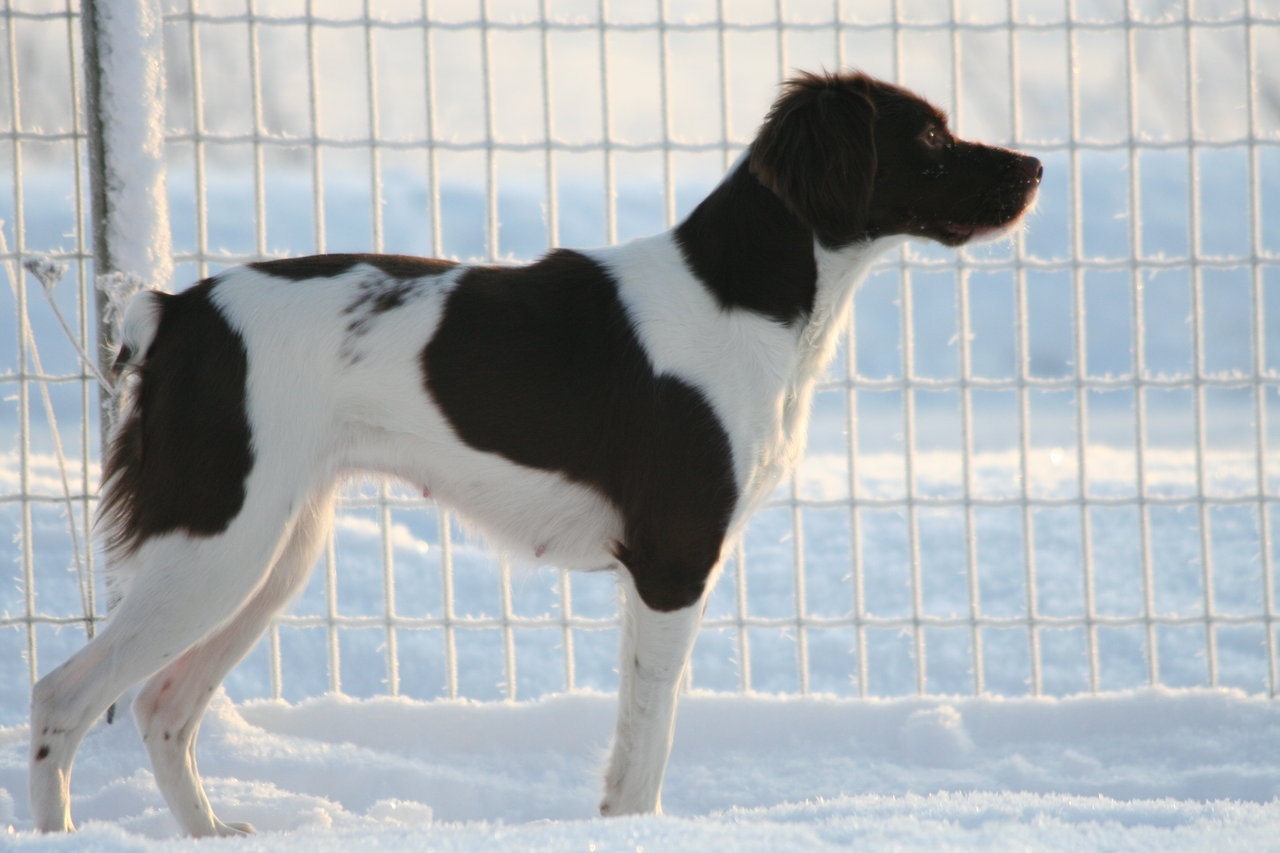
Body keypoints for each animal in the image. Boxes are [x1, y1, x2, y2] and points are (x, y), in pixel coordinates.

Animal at [30, 70, 1040, 835]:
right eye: (931, 137)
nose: (1035, 164)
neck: (741, 294)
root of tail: (174, 311)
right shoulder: (673, 562)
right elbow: (645, 743)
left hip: (270, 553)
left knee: (162, 707)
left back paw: (209, 833)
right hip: (215, 546)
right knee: (63, 696)